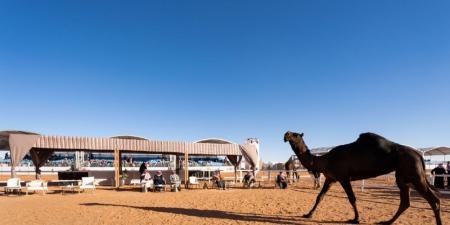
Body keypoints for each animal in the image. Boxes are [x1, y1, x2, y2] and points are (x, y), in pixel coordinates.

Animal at [284, 131, 442, 225]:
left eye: (296, 134)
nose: (286, 135)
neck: (325, 160)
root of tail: (419, 155)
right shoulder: (330, 179)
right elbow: (319, 197)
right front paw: (308, 215)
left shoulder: (343, 177)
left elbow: (352, 198)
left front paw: (356, 219)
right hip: (403, 176)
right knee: (405, 202)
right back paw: (386, 222)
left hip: (415, 174)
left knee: (433, 200)